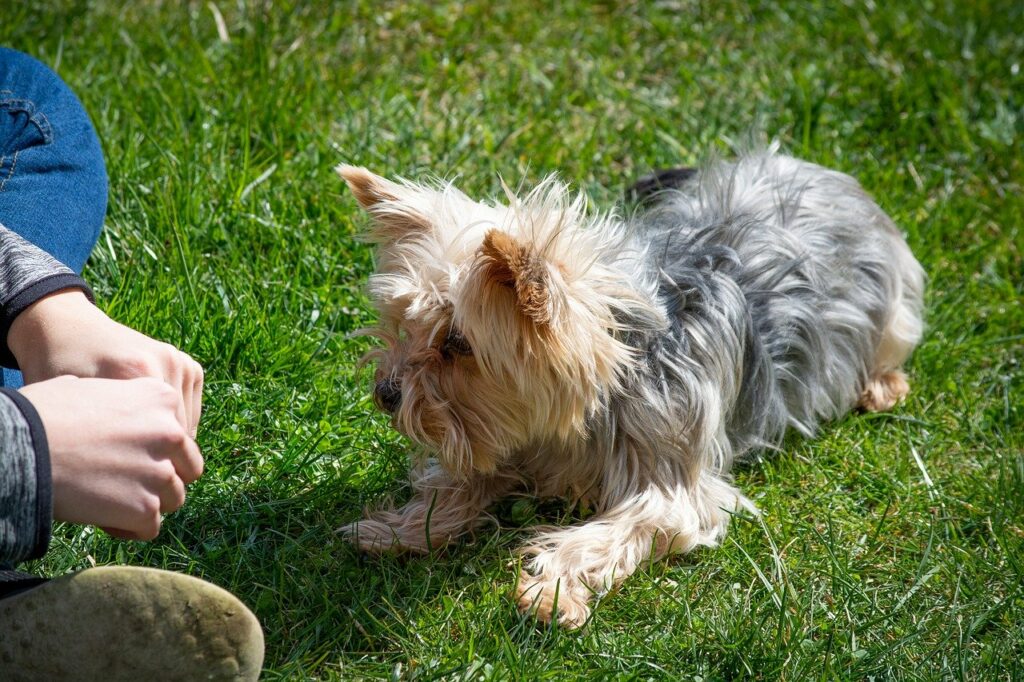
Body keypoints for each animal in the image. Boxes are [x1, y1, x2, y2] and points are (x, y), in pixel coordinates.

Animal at [337, 148, 929, 626]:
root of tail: (818, 170)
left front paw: (551, 590)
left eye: (458, 342)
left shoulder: (669, 481)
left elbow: (608, 532)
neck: (594, 399)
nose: (386, 394)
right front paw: (400, 529)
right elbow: (459, 484)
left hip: (893, 300)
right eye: (404, 323)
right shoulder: (503, 438)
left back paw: (882, 386)